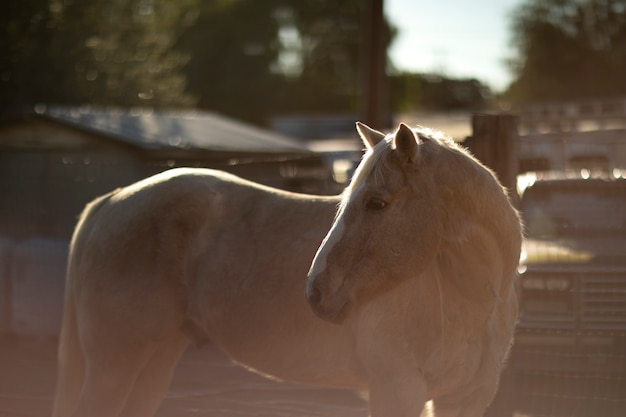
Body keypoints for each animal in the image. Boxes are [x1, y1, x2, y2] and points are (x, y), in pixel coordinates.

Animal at [53, 122, 520, 416]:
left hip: (155, 359)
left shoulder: (464, 400)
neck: (464, 303)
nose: (317, 291)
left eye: (377, 202)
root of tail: (109, 201)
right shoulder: (397, 390)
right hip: (112, 367)